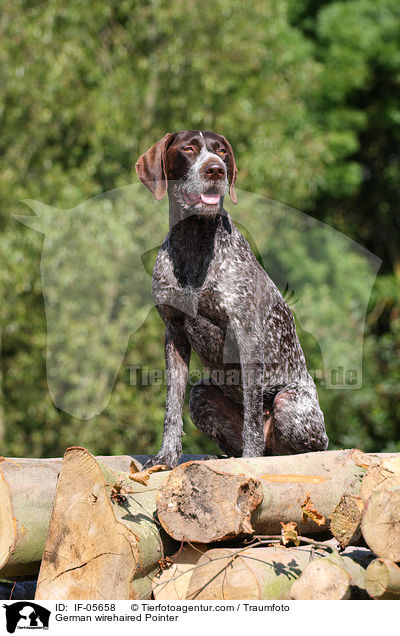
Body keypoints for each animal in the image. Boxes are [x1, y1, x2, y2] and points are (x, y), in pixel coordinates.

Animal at [134, 130, 328, 468]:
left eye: (222, 151)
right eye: (189, 149)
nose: (215, 169)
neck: (195, 242)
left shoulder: (247, 335)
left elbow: (252, 417)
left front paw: (251, 460)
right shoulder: (174, 334)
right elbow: (172, 408)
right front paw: (166, 456)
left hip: (289, 404)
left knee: (296, 448)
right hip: (201, 394)